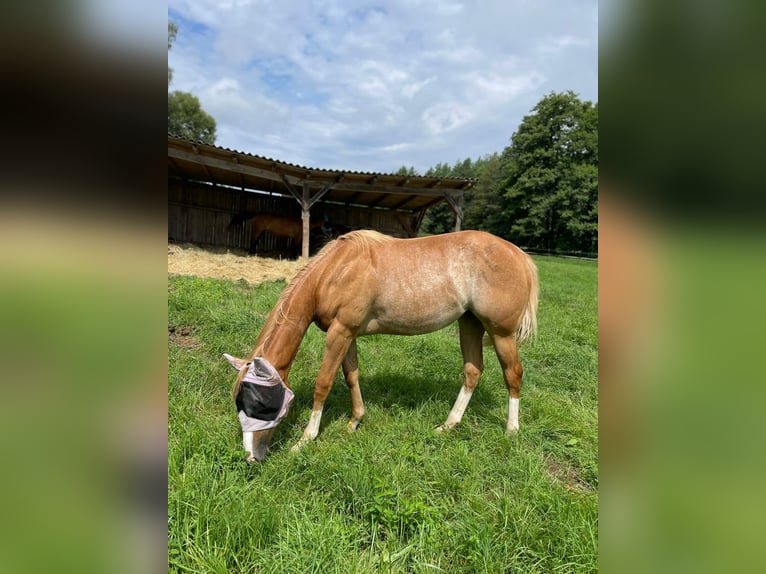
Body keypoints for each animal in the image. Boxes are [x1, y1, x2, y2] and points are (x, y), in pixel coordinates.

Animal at [225, 230, 544, 464]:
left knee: (513, 374)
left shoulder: (340, 332)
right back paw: (448, 425)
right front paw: (354, 421)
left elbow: (323, 383)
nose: (251, 457)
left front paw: (305, 439)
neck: (336, 270)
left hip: (501, 333)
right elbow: (351, 376)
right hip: (470, 323)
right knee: (473, 371)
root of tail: (518, 254)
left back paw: (511, 430)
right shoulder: (348, 333)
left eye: (260, 403)